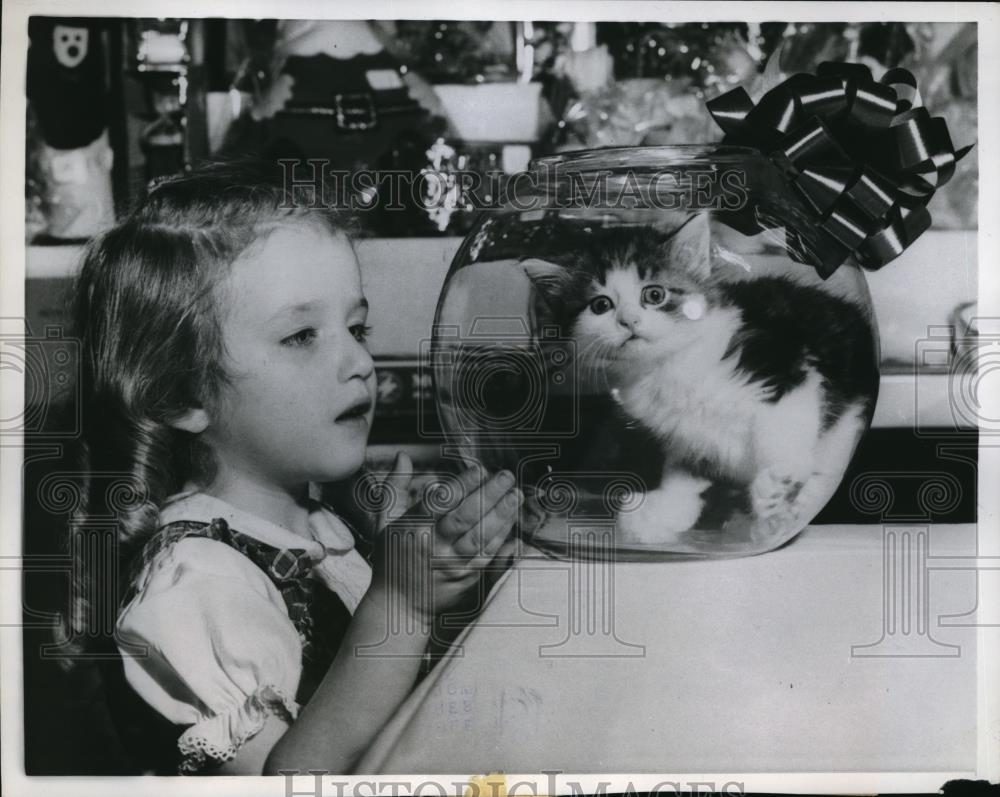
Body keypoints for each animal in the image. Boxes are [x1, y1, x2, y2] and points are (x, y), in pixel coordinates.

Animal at [520, 215, 880, 544]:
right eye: (600, 305)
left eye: (654, 295)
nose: (628, 321)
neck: (670, 365)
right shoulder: (687, 437)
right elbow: (683, 476)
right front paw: (656, 515)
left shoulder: (786, 366)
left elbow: (781, 429)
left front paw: (777, 484)